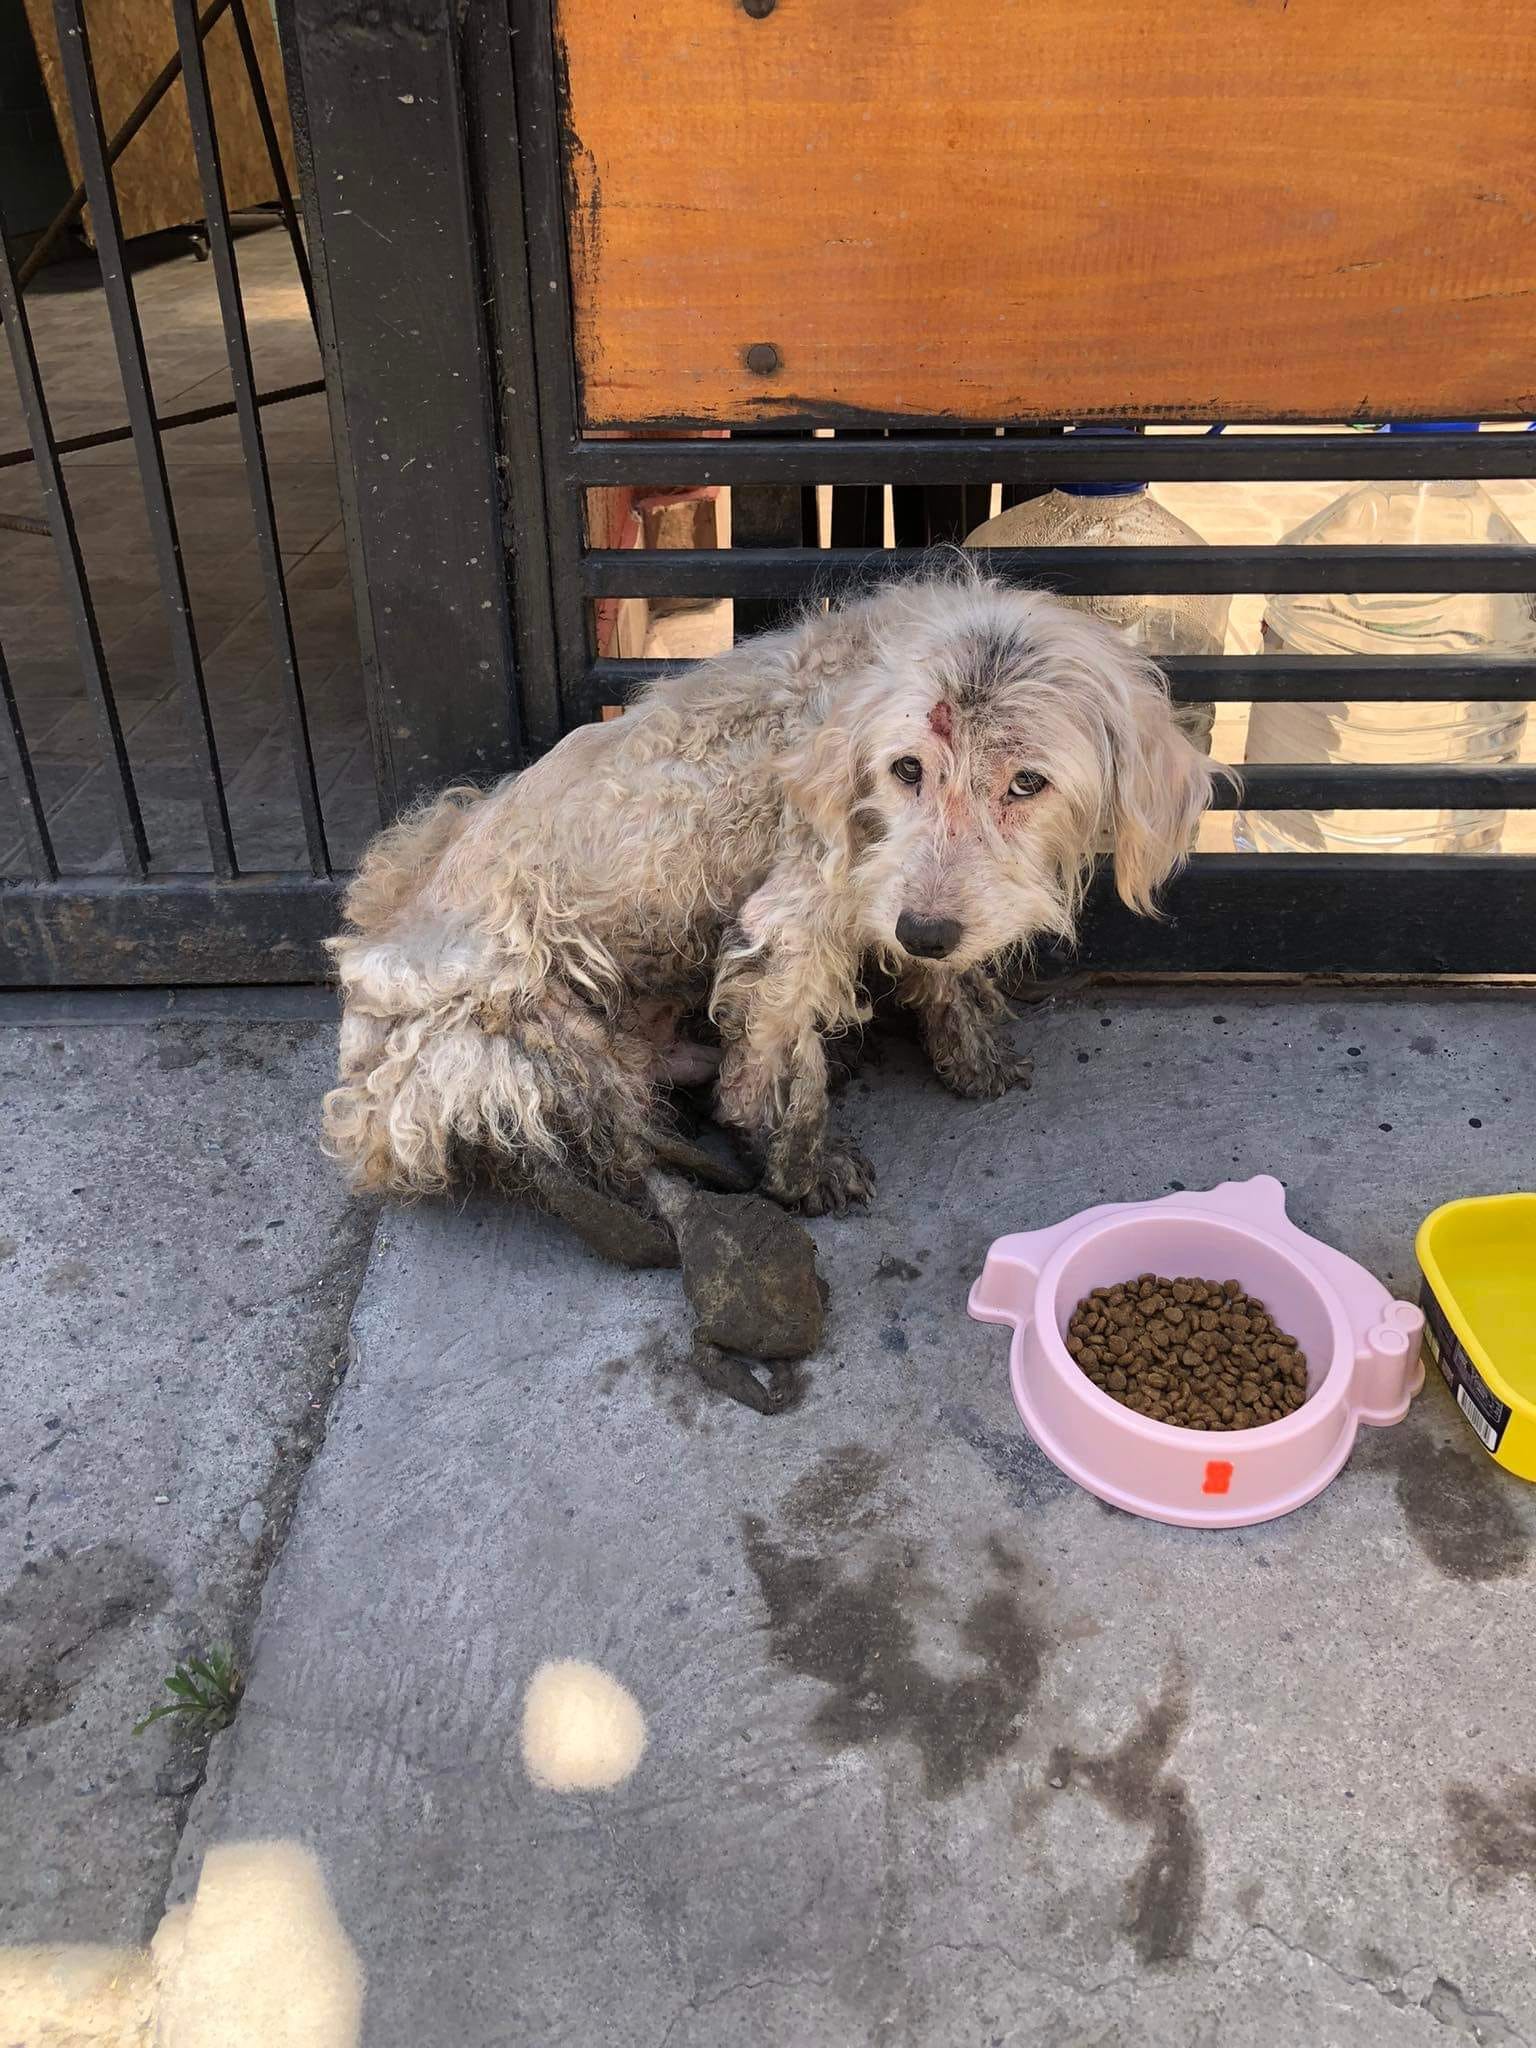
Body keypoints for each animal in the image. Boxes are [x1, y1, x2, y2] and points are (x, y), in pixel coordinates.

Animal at [321, 569, 1212, 1212]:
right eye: (907, 769)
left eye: (1027, 782)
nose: (924, 932)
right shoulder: (797, 920)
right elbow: (778, 1065)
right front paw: (800, 1166)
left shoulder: (904, 900)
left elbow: (940, 975)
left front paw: (969, 1046)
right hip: (533, 1035)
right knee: (617, 1153)